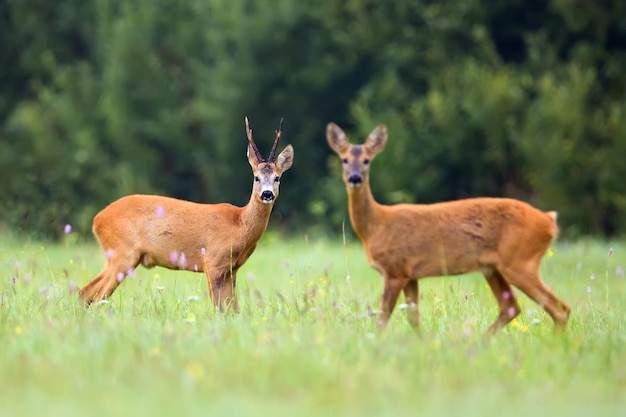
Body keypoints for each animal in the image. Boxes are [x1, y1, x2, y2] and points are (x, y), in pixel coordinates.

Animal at [78, 116, 292, 308]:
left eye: (277, 178)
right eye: (256, 177)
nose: (267, 194)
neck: (240, 224)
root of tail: (97, 220)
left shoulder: (232, 269)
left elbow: (232, 308)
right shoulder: (212, 261)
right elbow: (218, 307)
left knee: (85, 292)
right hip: (123, 252)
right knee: (95, 295)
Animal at [326, 122, 572, 332]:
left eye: (367, 160)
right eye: (344, 159)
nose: (355, 178)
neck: (375, 226)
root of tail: (549, 220)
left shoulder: (395, 269)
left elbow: (382, 319)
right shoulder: (410, 274)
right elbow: (413, 319)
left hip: (520, 261)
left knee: (559, 308)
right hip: (492, 267)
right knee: (512, 306)